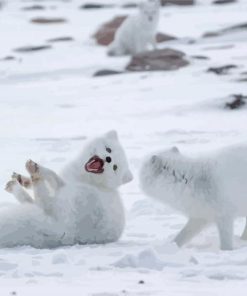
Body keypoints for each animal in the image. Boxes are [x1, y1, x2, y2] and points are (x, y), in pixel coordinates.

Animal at [2, 131, 133, 249]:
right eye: (109, 149)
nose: (108, 158)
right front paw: (24, 180)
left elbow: (52, 175)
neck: (88, 179)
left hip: (68, 202)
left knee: (43, 200)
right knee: (33, 200)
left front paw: (36, 171)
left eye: (115, 167)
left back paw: (32, 173)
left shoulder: (63, 186)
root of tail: (68, 233)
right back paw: (16, 183)